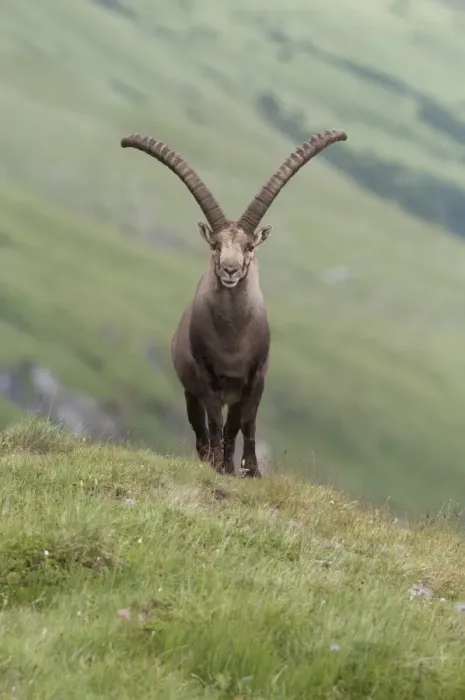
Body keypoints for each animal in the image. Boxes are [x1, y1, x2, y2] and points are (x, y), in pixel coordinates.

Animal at [121, 129, 348, 476]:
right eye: (215, 245)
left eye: (250, 246)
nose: (230, 270)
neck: (232, 339)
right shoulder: (206, 378)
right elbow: (216, 423)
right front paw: (220, 465)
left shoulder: (255, 377)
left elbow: (245, 423)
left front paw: (249, 469)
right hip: (190, 390)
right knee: (200, 428)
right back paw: (210, 458)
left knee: (235, 424)